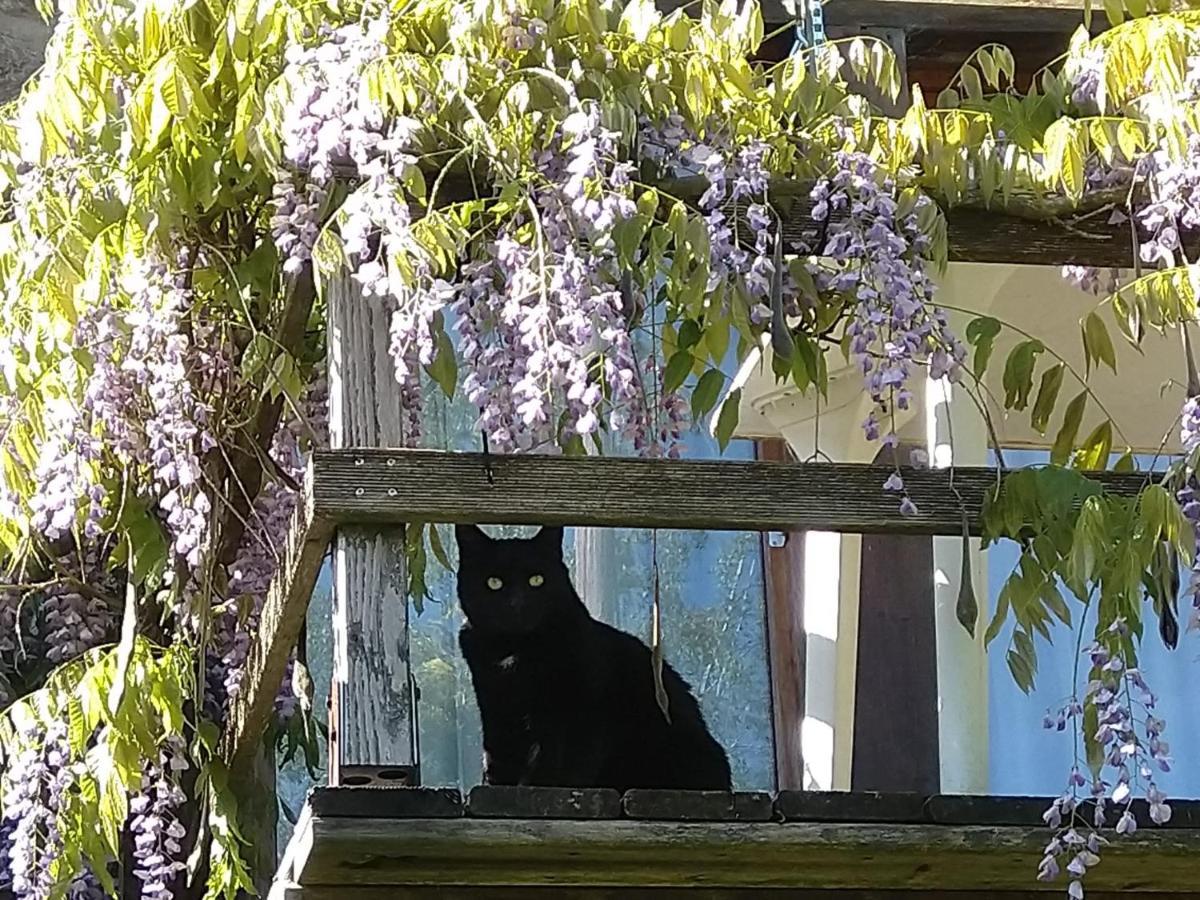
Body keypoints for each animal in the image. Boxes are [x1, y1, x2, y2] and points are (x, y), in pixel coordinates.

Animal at [456, 525, 729, 792]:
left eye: (537, 580)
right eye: (494, 582)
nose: (517, 603)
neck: (514, 649)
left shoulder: (579, 710)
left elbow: (558, 759)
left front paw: (537, 784)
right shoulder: (495, 704)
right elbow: (498, 752)